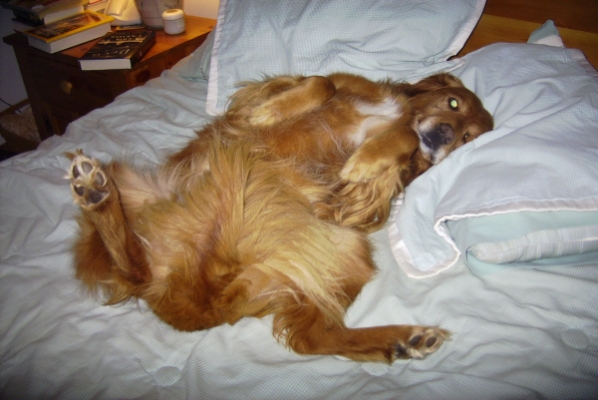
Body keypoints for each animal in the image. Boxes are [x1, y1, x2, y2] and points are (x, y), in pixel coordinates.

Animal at [67, 73, 492, 363]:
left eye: (468, 139)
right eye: (453, 103)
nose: (444, 134)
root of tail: (214, 299)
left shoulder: (364, 204)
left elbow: (400, 143)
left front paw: (365, 161)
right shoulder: (319, 81)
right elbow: (321, 83)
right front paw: (269, 112)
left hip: (344, 245)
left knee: (312, 339)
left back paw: (407, 340)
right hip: (132, 184)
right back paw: (95, 191)